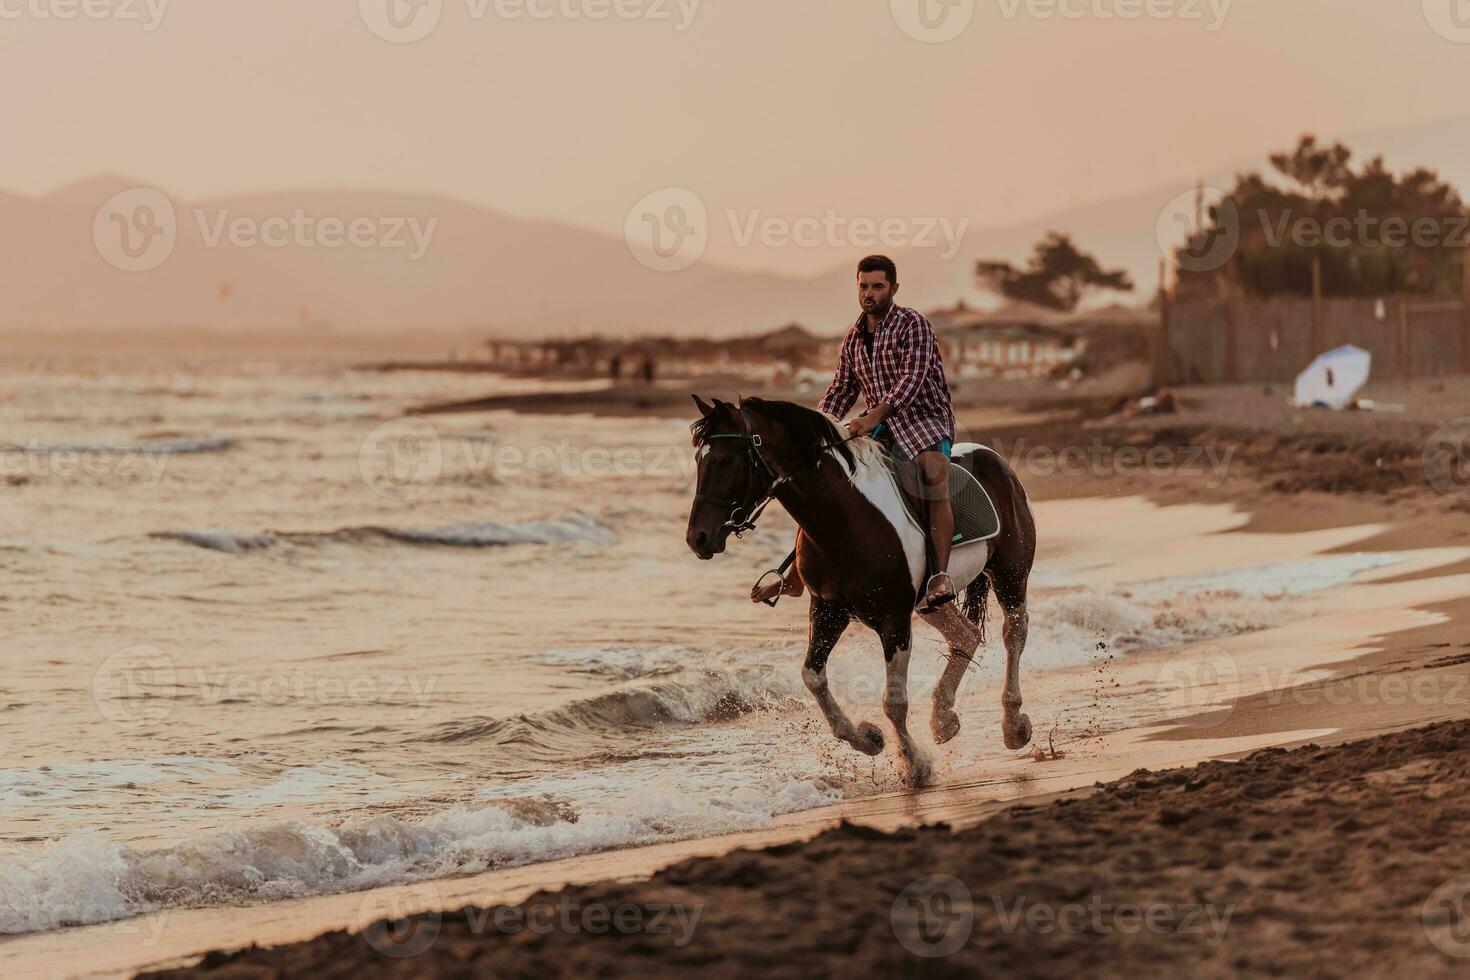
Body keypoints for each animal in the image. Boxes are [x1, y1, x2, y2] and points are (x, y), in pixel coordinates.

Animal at [685, 393, 1040, 787]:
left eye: (727, 459)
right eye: (699, 459)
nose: (698, 538)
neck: (844, 519)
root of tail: (997, 460)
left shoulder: (894, 618)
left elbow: (894, 701)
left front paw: (914, 765)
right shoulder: (828, 609)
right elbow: (812, 677)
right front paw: (868, 739)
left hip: (1009, 573)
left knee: (1014, 632)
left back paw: (1013, 725)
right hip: (931, 603)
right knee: (966, 635)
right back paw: (943, 720)